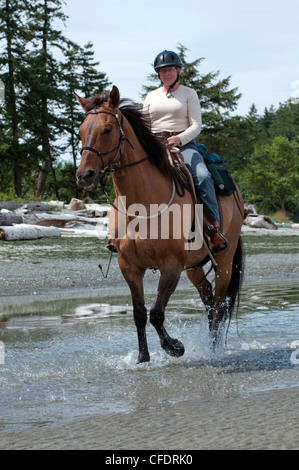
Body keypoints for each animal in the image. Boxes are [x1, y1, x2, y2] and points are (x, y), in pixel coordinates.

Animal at [76, 86, 245, 362]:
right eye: (81, 130)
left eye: (108, 129)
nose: (84, 175)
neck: (142, 206)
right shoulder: (129, 266)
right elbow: (139, 313)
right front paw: (143, 358)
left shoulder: (171, 265)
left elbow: (156, 312)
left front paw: (174, 347)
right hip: (194, 267)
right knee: (208, 299)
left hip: (225, 262)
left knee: (219, 305)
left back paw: (213, 350)